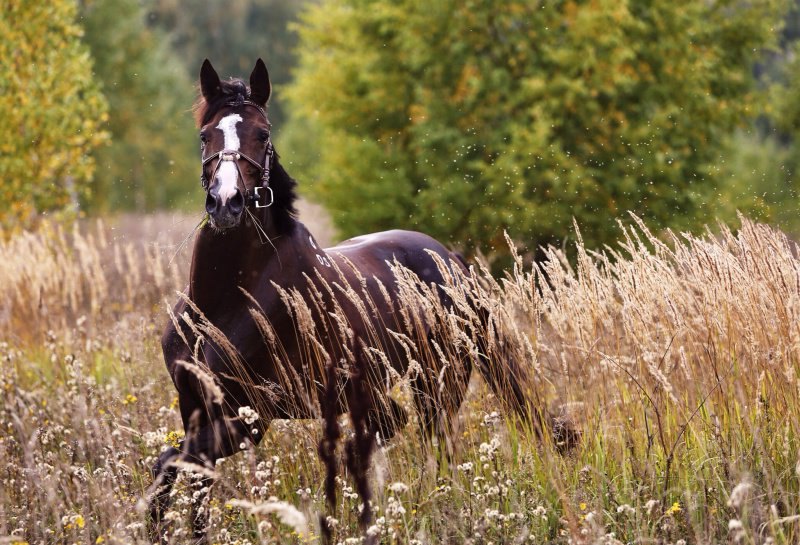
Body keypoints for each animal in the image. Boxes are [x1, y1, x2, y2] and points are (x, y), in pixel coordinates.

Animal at [150, 58, 572, 540]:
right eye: (206, 135)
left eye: (263, 133)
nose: (226, 203)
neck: (226, 304)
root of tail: (453, 261)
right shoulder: (197, 407)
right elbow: (187, 482)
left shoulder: (253, 416)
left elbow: (171, 463)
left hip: (439, 385)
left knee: (436, 450)